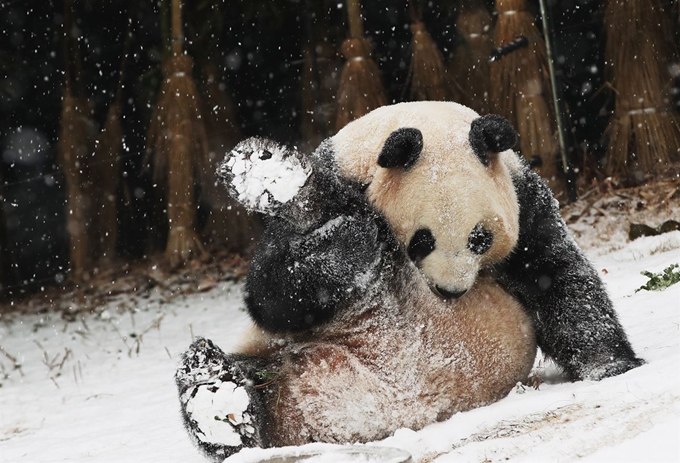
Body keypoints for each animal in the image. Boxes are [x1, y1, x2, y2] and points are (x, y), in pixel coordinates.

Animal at [177, 100, 644, 460]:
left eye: (480, 238)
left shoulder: (522, 197)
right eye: (424, 239)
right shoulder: (343, 186)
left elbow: (556, 275)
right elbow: (273, 294)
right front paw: (345, 240)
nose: (451, 291)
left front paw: (611, 366)